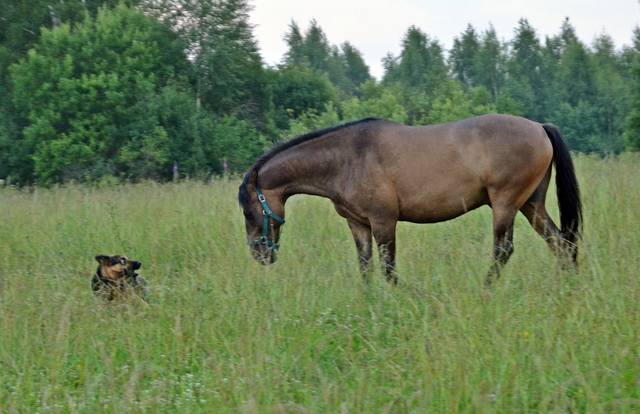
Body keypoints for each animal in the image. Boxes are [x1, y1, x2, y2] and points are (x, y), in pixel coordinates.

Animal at [238, 115, 584, 286]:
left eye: (248, 210)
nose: (259, 254)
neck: (347, 158)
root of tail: (539, 128)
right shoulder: (358, 224)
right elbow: (365, 267)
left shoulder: (383, 221)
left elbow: (388, 268)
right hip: (530, 205)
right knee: (561, 243)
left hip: (506, 203)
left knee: (504, 249)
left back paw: (485, 289)